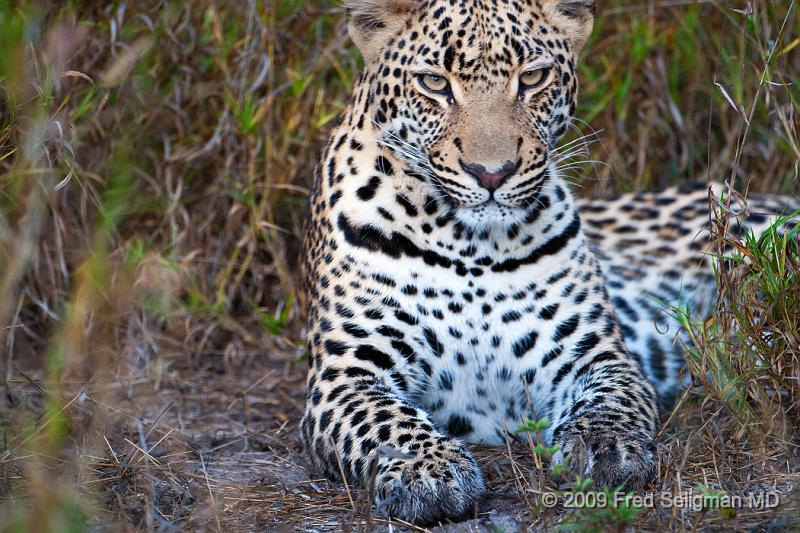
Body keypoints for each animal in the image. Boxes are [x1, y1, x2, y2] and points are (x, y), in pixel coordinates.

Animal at [296, 0, 796, 524]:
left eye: (532, 77)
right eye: (434, 82)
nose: (491, 174)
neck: (469, 245)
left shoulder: (594, 353)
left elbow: (610, 400)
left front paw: (604, 448)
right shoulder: (345, 375)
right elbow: (387, 420)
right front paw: (428, 469)